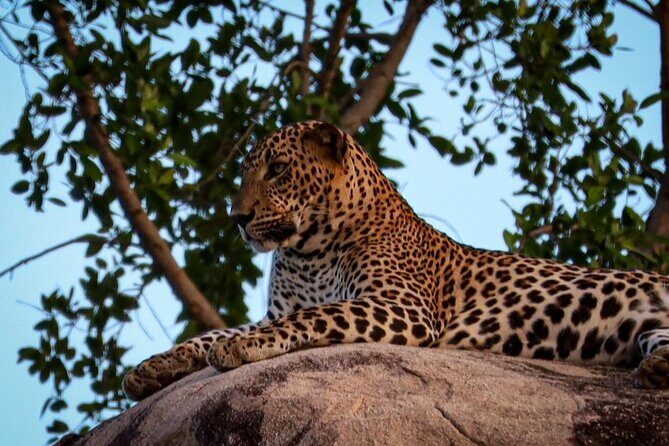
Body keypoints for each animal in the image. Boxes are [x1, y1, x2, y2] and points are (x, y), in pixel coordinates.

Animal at [122, 120, 669, 401]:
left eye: (276, 170)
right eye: (244, 173)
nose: (237, 217)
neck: (308, 249)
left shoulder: (400, 304)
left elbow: (313, 315)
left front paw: (245, 347)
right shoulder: (279, 308)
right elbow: (212, 333)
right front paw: (152, 368)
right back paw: (658, 369)